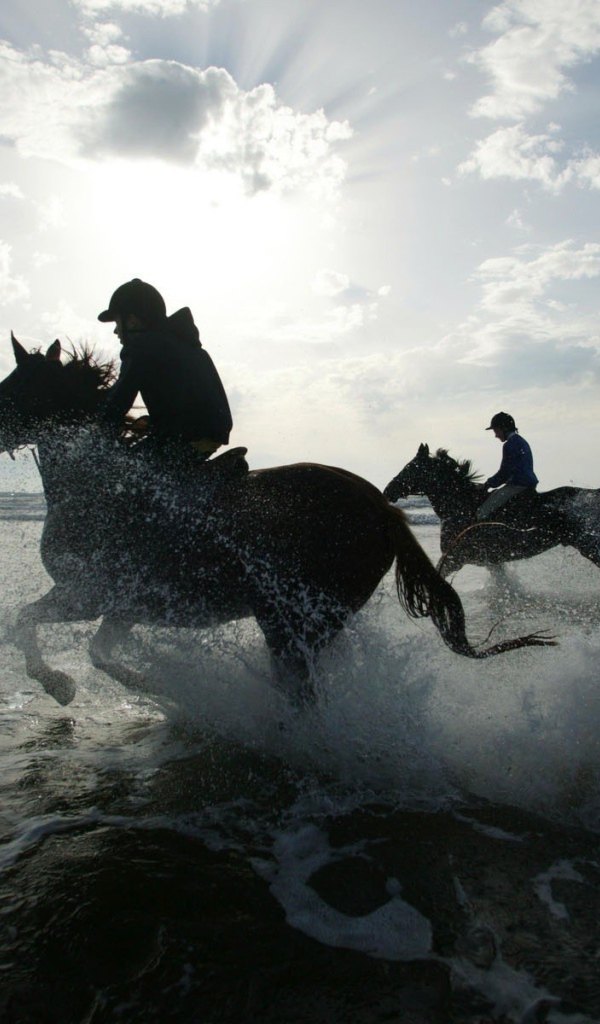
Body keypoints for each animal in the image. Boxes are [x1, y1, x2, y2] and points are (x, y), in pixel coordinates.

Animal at [0, 336, 554, 707]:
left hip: (292, 620)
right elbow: (97, 650)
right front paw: (150, 684)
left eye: (16, 383)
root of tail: (383, 508)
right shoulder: (122, 606)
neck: (97, 485)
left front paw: (59, 684)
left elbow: (28, 620)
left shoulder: (86, 593)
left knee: (302, 689)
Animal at [384, 443, 600, 578]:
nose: (387, 491)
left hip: (587, 545)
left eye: (411, 467)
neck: (460, 506)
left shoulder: (455, 558)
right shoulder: (491, 561)